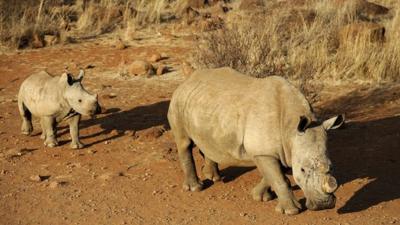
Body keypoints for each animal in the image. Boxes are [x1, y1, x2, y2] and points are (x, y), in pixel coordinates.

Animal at [167, 67, 346, 215]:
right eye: (302, 170)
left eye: (331, 167)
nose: (324, 205)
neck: (290, 128)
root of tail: (186, 81)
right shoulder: (264, 152)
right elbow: (279, 178)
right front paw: (291, 211)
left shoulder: (280, 150)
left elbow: (274, 175)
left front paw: (260, 197)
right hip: (178, 102)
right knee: (184, 143)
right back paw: (196, 188)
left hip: (205, 106)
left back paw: (214, 178)